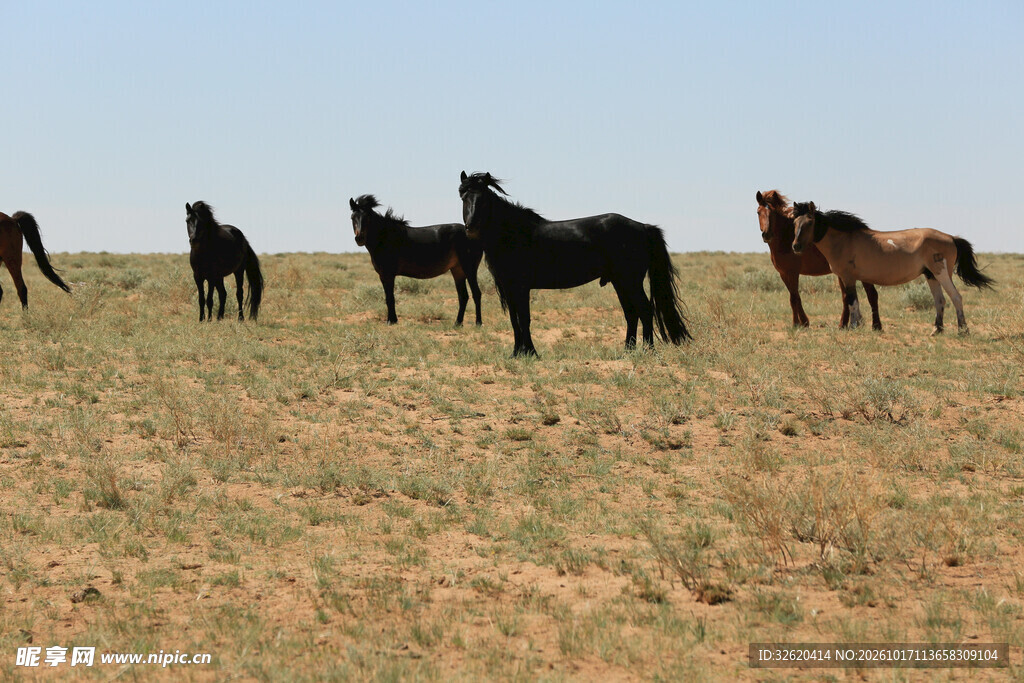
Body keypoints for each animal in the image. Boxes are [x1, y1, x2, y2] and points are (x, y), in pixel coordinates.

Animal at [349, 194, 483, 326]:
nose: (359, 238)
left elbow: (390, 298)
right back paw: (457, 323)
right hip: (457, 270)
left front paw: (391, 321)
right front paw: (392, 320)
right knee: (463, 296)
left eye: (367, 218)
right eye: (352, 217)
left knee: (476, 293)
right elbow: (388, 297)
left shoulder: (388, 274)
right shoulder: (383, 276)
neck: (385, 237)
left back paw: (478, 323)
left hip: (469, 268)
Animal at [458, 171, 691, 357]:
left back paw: (649, 351)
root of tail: (643, 227)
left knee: (645, 310)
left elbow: (524, 318)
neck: (513, 233)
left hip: (630, 281)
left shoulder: (521, 287)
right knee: (631, 313)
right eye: (463, 196)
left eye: (484, 199)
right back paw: (628, 350)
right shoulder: (509, 288)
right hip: (620, 282)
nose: (470, 227)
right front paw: (517, 353)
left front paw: (531, 352)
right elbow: (515, 320)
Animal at [756, 190, 880, 329]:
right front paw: (803, 322)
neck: (786, 239)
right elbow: (794, 297)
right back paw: (843, 325)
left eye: (772, 213)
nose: (766, 235)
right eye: (758, 212)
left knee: (870, 295)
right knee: (848, 296)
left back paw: (874, 326)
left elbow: (794, 298)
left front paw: (797, 323)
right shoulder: (783, 274)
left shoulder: (792, 273)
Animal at [792, 202, 994, 335]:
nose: (796, 246)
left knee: (956, 297)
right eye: (794, 223)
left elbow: (852, 302)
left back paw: (962, 330)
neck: (844, 240)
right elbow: (855, 301)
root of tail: (951, 237)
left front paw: (854, 326)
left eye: (809, 222)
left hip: (941, 273)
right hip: (931, 275)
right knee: (940, 301)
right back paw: (937, 329)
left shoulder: (849, 278)